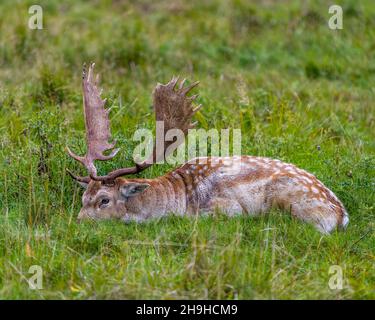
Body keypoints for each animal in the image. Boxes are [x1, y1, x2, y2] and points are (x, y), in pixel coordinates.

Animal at [67, 63, 350, 232]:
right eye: (83, 198)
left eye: (104, 200)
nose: (78, 223)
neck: (178, 199)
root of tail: (341, 215)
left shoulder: (226, 207)